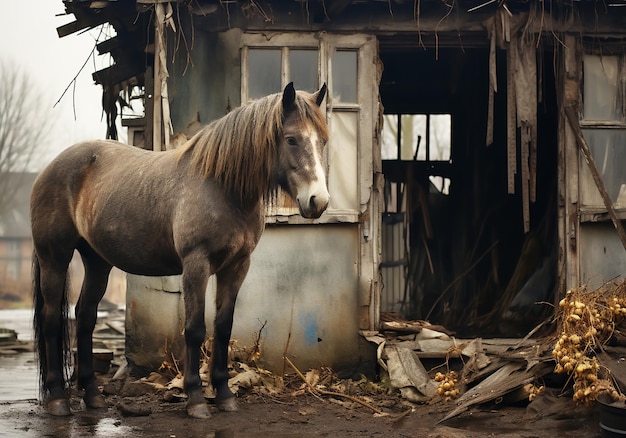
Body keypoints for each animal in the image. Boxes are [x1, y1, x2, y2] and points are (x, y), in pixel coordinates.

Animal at [30, 82, 326, 418]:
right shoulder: (196, 264)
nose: (318, 200)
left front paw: (224, 395)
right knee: (52, 320)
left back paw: (92, 395)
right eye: (291, 139)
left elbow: (223, 327)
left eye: (322, 141)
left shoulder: (237, 267)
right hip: (54, 258)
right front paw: (196, 398)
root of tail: (49, 169)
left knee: (85, 317)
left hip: (97, 263)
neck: (221, 186)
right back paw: (57, 398)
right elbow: (195, 329)